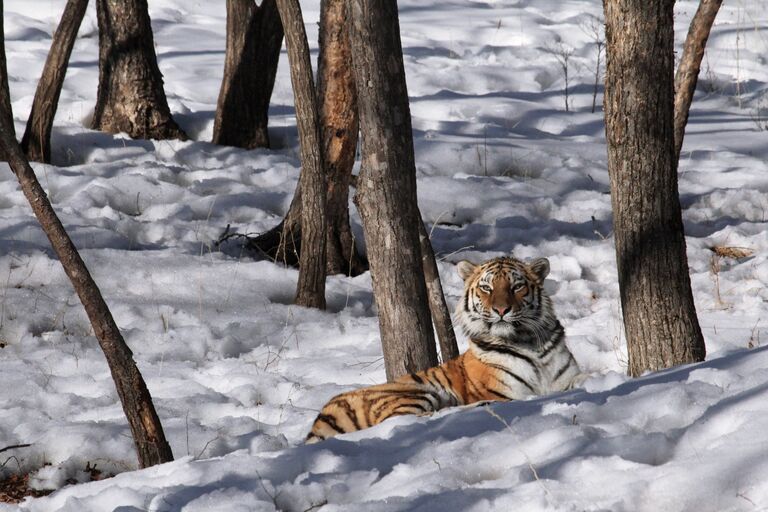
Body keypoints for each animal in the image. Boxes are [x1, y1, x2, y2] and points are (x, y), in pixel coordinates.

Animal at [306, 256, 584, 444]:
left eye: (517, 287)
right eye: (487, 288)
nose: (501, 310)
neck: (528, 342)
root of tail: (322, 415)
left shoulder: (565, 377)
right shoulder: (505, 392)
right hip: (414, 393)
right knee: (414, 418)